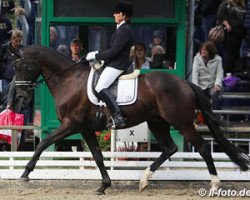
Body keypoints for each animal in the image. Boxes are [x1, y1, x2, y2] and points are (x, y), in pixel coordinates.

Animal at [14, 46, 250, 195]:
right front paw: (104, 186)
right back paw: (144, 181)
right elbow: (98, 156)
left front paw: (25, 174)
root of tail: (186, 83)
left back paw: (215, 185)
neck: (69, 79)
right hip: (157, 122)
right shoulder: (85, 128)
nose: (22, 96)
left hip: (182, 123)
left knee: (202, 148)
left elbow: (43, 143)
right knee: (170, 148)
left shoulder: (71, 124)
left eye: (22, 67)